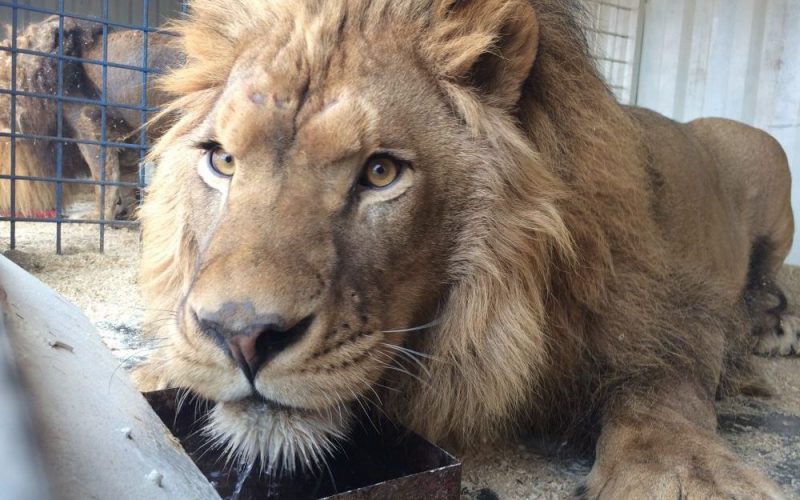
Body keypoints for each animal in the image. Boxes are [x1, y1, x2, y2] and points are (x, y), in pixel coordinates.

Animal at [0, 17, 179, 220]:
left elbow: (103, 179)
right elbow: (126, 181)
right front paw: (131, 214)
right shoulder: (125, 138)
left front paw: (98, 216)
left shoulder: (90, 126)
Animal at [136, 0, 797, 497]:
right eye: (222, 160)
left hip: (764, 158)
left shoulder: (672, 307)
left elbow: (663, 390)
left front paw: (689, 475)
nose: (241, 335)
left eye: (380, 172)